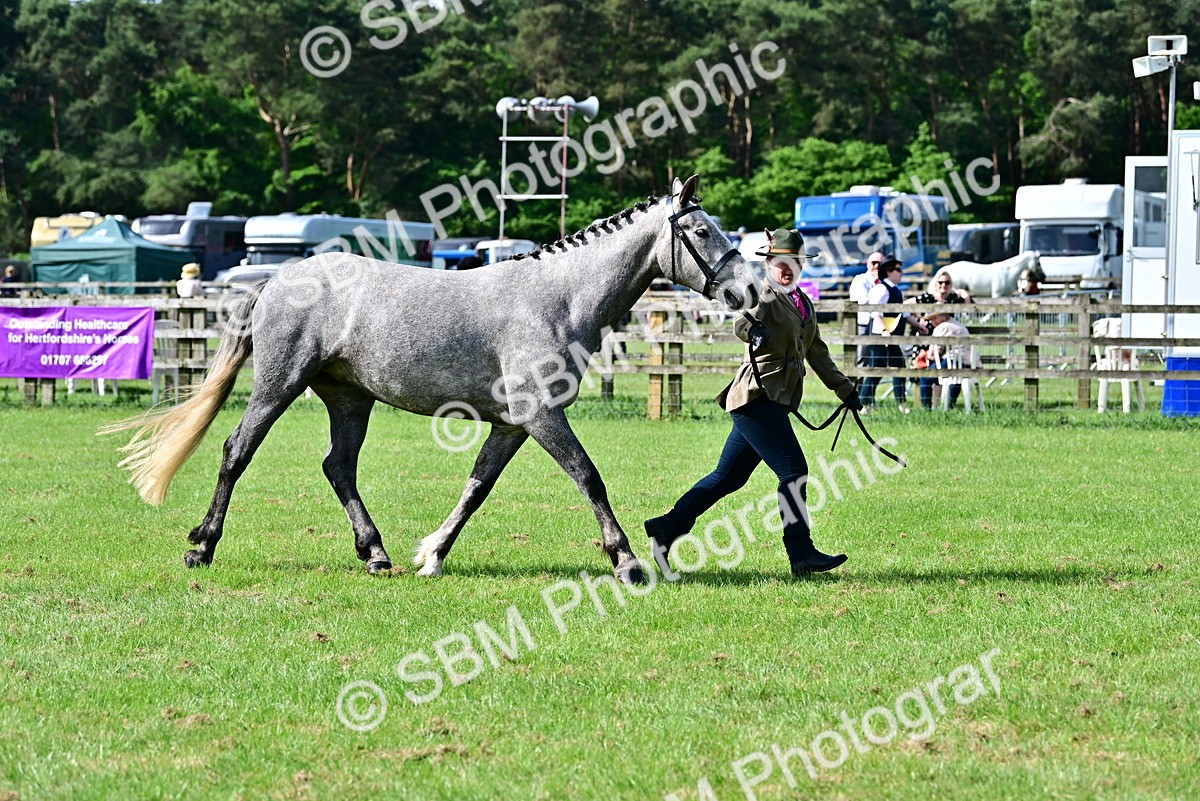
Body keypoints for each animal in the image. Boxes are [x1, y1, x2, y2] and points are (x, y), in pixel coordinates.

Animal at [105, 175, 751, 584]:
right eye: (702, 232)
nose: (746, 291)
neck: (557, 298)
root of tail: (279, 279)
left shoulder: (513, 424)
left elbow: (476, 488)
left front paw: (433, 555)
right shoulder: (542, 414)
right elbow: (588, 478)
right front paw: (626, 562)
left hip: (349, 399)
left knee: (339, 467)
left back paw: (376, 553)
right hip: (277, 384)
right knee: (236, 451)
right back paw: (202, 546)